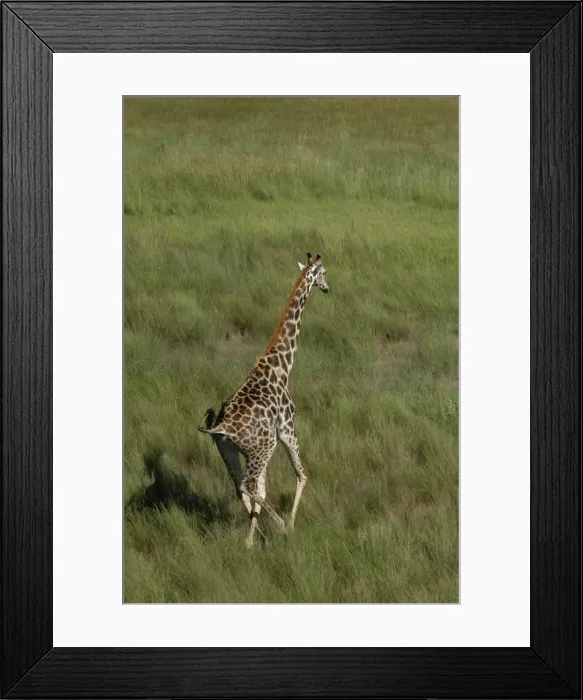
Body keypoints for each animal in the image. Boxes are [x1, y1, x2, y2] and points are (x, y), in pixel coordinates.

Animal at [198, 252, 329, 547]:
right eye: (324, 272)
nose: (327, 288)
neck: (282, 365)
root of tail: (220, 428)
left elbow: (265, 489)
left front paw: (256, 535)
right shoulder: (286, 428)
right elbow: (302, 474)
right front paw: (290, 524)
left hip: (230, 450)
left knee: (241, 487)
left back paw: (252, 538)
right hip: (263, 447)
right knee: (248, 485)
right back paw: (277, 525)